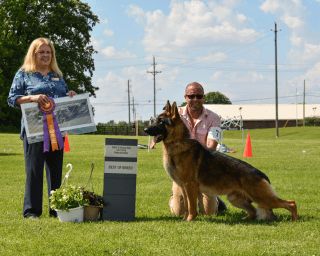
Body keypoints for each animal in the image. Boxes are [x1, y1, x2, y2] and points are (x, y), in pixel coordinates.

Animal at [145, 101, 298, 221]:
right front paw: (184, 219)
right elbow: (187, 206)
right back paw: (245, 219)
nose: (146, 129)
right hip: (236, 199)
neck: (178, 142)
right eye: (155, 120)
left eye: (161, 121)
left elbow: (192, 207)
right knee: (254, 211)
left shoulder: (189, 185)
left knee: (291, 203)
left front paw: (189, 220)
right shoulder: (183, 187)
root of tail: (262, 175)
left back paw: (294, 220)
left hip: (261, 197)